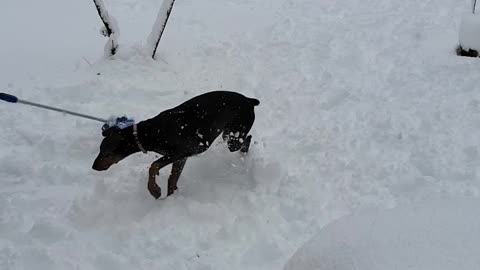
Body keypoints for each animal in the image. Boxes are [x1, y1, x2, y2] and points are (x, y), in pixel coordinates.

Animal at [93, 92, 258, 199]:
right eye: (99, 150)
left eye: (106, 153)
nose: (94, 167)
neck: (151, 132)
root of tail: (250, 100)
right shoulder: (181, 158)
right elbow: (172, 179)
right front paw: (171, 198)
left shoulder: (179, 152)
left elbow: (153, 166)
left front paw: (154, 190)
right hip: (227, 134)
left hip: (234, 137)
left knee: (247, 139)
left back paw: (245, 155)